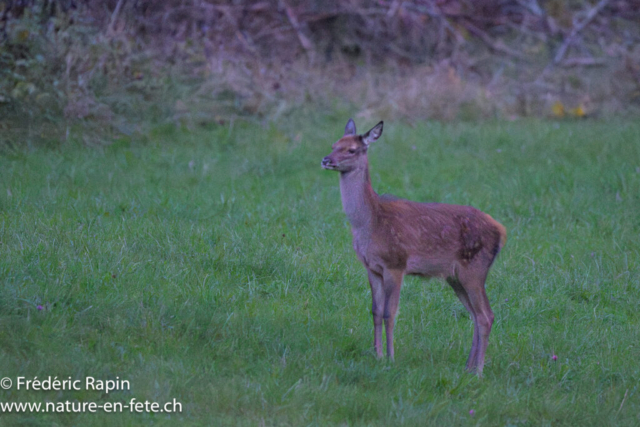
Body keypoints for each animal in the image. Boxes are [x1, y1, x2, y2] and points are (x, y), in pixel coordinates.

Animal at [321, 119, 507, 375]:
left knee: (486, 315)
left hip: (475, 268)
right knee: (475, 315)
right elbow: (375, 311)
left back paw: (478, 371)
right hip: (455, 276)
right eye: (333, 144)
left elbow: (390, 313)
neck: (369, 223)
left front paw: (390, 358)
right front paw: (378, 356)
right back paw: (468, 368)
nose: (326, 159)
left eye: (351, 150)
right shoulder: (372, 268)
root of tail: (501, 231)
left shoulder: (395, 263)